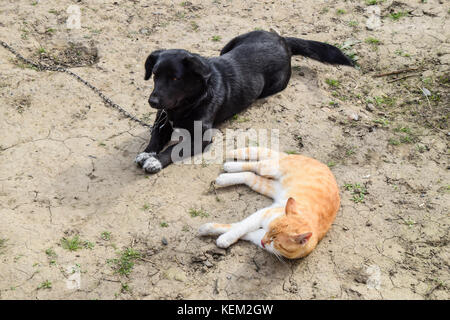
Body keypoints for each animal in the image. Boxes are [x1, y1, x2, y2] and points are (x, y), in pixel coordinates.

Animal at [135, 30, 354, 172]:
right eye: (155, 74)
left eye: (175, 78)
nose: (152, 101)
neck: (188, 103)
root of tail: (282, 39)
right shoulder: (162, 121)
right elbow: (155, 138)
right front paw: (147, 153)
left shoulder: (202, 137)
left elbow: (173, 149)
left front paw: (155, 161)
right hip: (229, 44)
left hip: (274, 85)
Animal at [199, 148, 340, 260]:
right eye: (270, 231)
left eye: (275, 241)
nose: (263, 241)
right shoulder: (262, 214)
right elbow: (241, 226)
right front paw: (221, 235)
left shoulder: (260, 234)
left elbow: (239, 228)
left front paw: (215, 233)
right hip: (269, 168)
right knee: (255, 165)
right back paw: (229, 166)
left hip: (265, 185)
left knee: (249, 175)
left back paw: (224, 177)